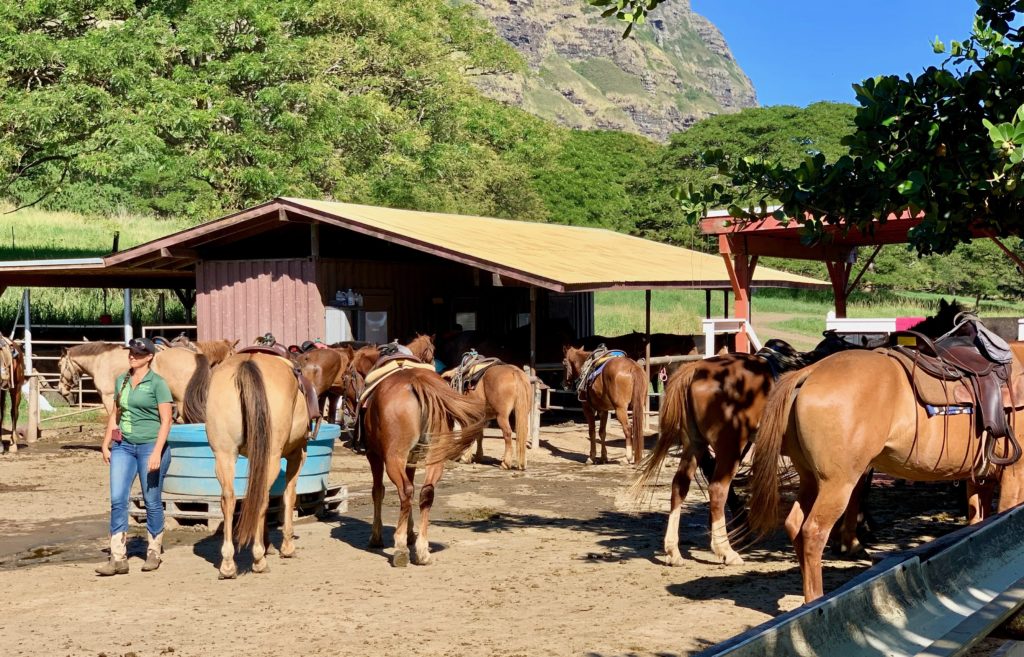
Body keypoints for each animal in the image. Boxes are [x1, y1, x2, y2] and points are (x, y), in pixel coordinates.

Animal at [199, 349, 309, 577]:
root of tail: (247, 363)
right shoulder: (296, 455)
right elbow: (288, 496)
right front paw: (286, 547)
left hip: (224, 455)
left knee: (229, 499)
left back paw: (228, 563)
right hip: (272, 456)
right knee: (261, 499)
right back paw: (258, 559)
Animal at [630, 335, 864, 564]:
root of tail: (696, 369)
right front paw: (850, 541)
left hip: (695, 445)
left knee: (680, 486)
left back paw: (674, 551)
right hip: (730, 446)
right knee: (717, 489)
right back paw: (726, 549)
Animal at [745, 317, 1024, 597]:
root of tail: (810, 372)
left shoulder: (980, 480)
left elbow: (977, 524)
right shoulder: (1014, 475)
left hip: (810, 478)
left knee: (794, 525)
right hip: (836, 483)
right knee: (813, 531)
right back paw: (816, 598)